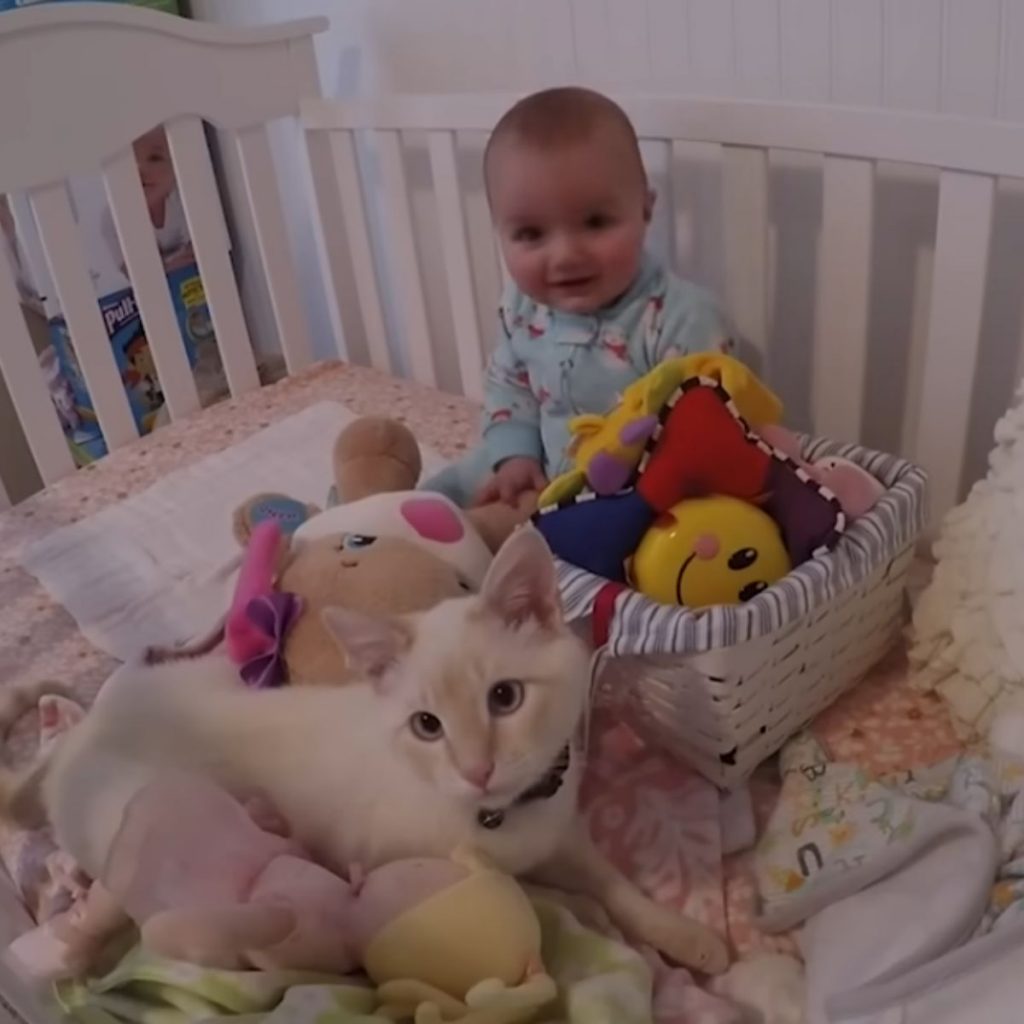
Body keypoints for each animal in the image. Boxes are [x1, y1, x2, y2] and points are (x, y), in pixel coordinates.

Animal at [18, 528, 720, 974]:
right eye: (427, 726)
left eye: (505, 697)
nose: (478, 770)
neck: (502, 818)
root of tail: (85, 730)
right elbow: (552, 902)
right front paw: (591, 918)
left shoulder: (559, 824)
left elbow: (612, 882)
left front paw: (681, 932)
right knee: (111, 898)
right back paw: (74, 945)